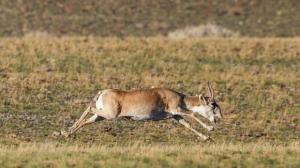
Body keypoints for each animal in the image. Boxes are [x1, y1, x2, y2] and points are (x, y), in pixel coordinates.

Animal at [63, 83, 221, 140]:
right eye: (213, 104)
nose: (218, 118)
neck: (180, 97)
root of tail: (103, 92)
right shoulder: (177, 109)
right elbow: (192, 114)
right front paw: (210, 129)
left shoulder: (175, 116)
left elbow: (187, 124)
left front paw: (205, 137)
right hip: (109, 115)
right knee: (89, 108)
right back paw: (66, 131)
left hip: (100, 116)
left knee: (86, 119)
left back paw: (66, 132)